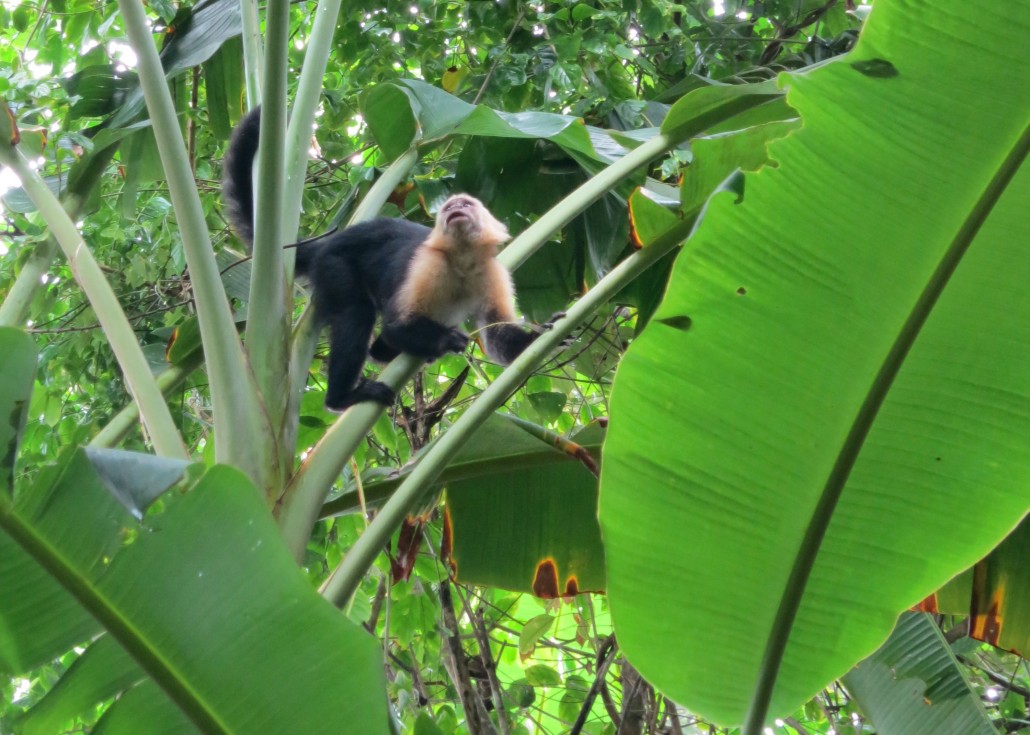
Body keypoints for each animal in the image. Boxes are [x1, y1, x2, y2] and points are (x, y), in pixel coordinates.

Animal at [223, 106, 547, 409]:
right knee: (357, 311)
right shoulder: (428, 265)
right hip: (334, 262)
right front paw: (445, 340)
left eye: (466, 204)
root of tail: (333, 240)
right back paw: (342, 397)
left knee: (378, 339)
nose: (454, 207)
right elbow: (396, 327)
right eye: (447, 208)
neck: (461, 259)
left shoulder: (493, 271)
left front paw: (540, 336)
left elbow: (498, 335)